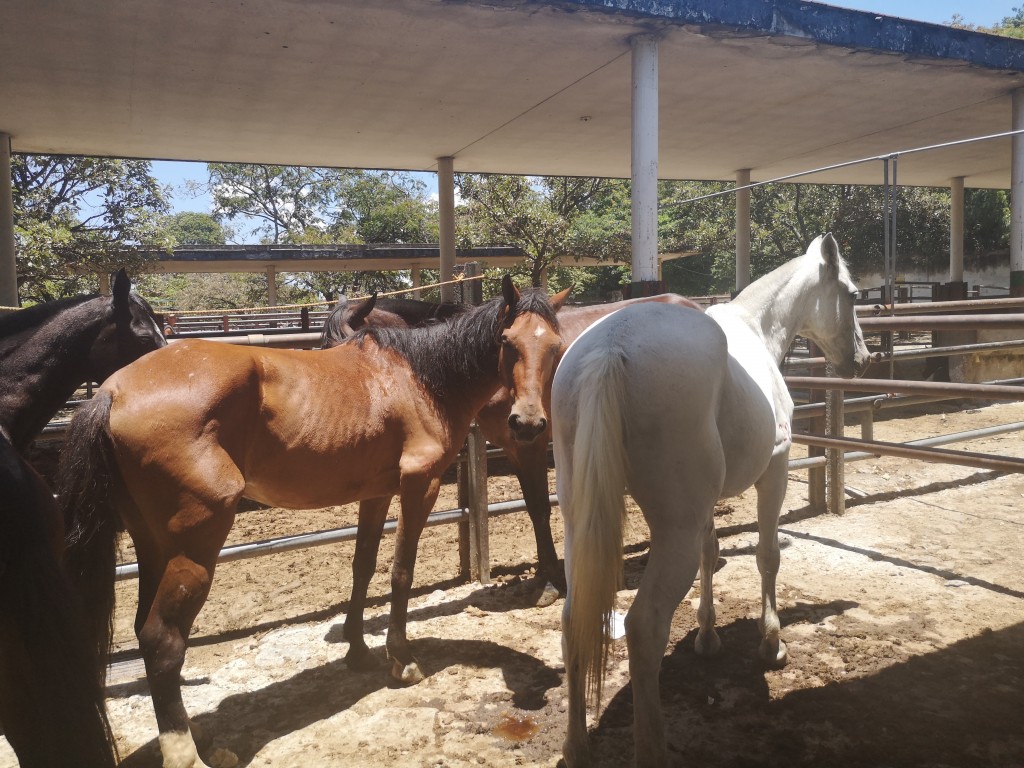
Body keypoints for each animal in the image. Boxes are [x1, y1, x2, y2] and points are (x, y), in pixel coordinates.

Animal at [57, 275, 569, 768]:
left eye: (555, 345)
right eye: (507, 342)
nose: (527, 423)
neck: (419, 377)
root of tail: (111, 392)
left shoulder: (377, 493)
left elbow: (364, 566)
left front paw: (357, 649)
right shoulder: (419, 486)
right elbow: (401, 572)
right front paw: (401, 659)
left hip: (152, 546)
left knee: (149, 632)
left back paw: (194, 732)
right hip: (194, 549)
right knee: (163, 640)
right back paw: (188, 754)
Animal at [321, 290, 703, 605]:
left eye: (351, 352)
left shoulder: (532, 443)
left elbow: (541, 509)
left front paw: (550, 583)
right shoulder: (515, 446)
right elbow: (533, 507)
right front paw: (546, 577)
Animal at [552, 234, 869, 767]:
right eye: (851, 293)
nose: (860, 359)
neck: (755, 327)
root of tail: (609, 348)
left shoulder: (706, 506)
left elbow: (711, 554)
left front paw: (706, 636)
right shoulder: (775, 470)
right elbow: (767, 555)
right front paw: (771, 643)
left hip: (582, 524)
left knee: (575, 619)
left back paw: (577, 747)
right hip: (672, 529)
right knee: (643, 627)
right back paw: (652, 749)